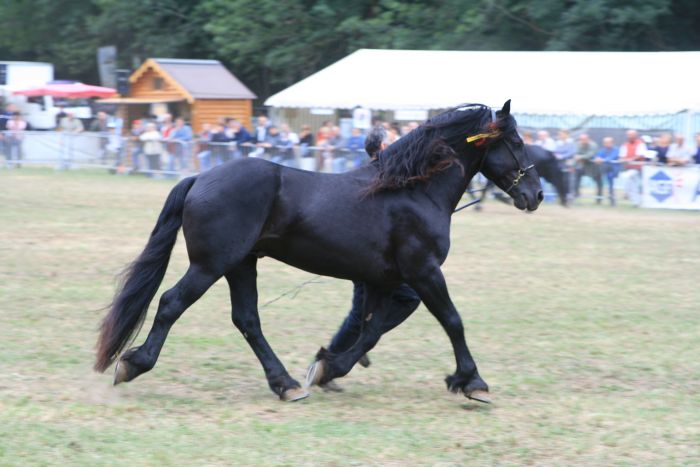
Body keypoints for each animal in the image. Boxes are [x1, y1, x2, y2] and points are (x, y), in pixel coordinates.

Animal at [94, 100, 540, 404]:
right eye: (517, 141)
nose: (535, 195)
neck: (413, 190)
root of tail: (200, 177)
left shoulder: (384, 280)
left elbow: (371, 330)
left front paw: (328, 367)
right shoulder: (424, 272)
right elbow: (452, 321)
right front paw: (473, 382)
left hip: (241, 265)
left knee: (247, 320)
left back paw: (286, 384)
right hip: (211, 264)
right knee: (172, 303)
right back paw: (133, 364)